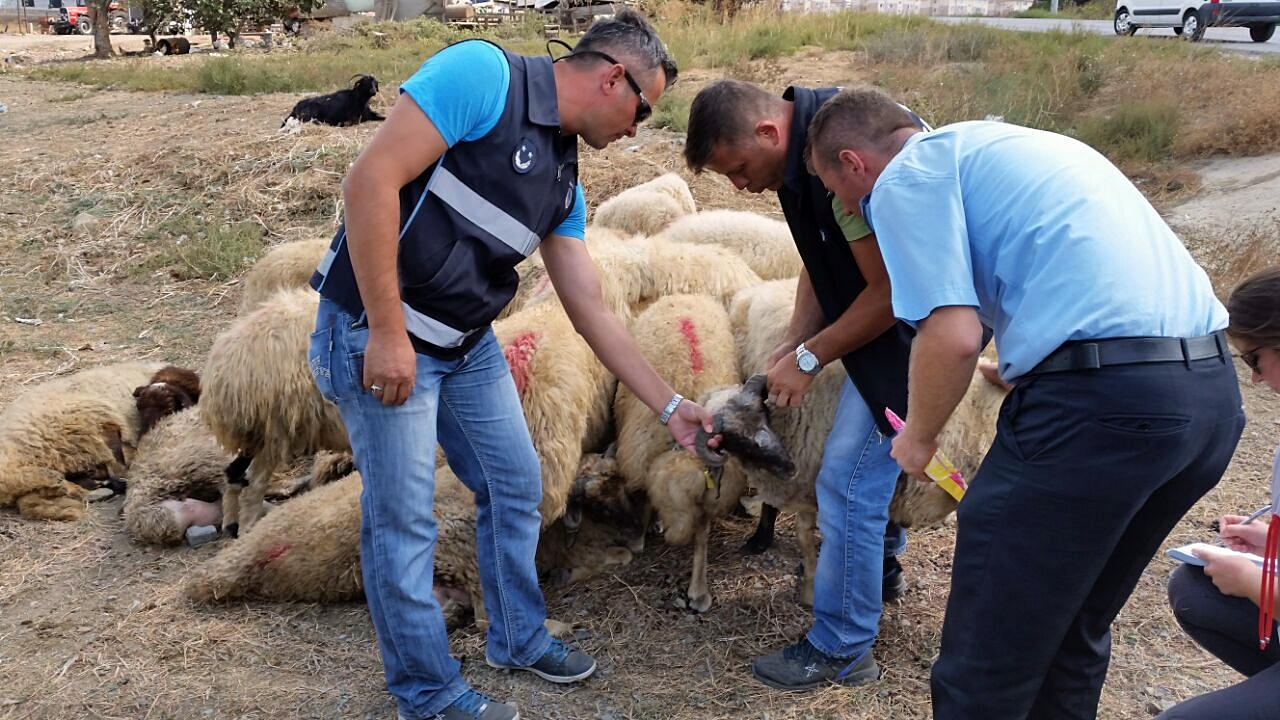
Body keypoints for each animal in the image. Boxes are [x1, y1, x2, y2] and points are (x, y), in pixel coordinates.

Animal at [200, 283, 353, 535]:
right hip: (275, 430)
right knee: (253, 487)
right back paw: (249, 530)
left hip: (257, 434)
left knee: (233, 474)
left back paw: (231, 525)